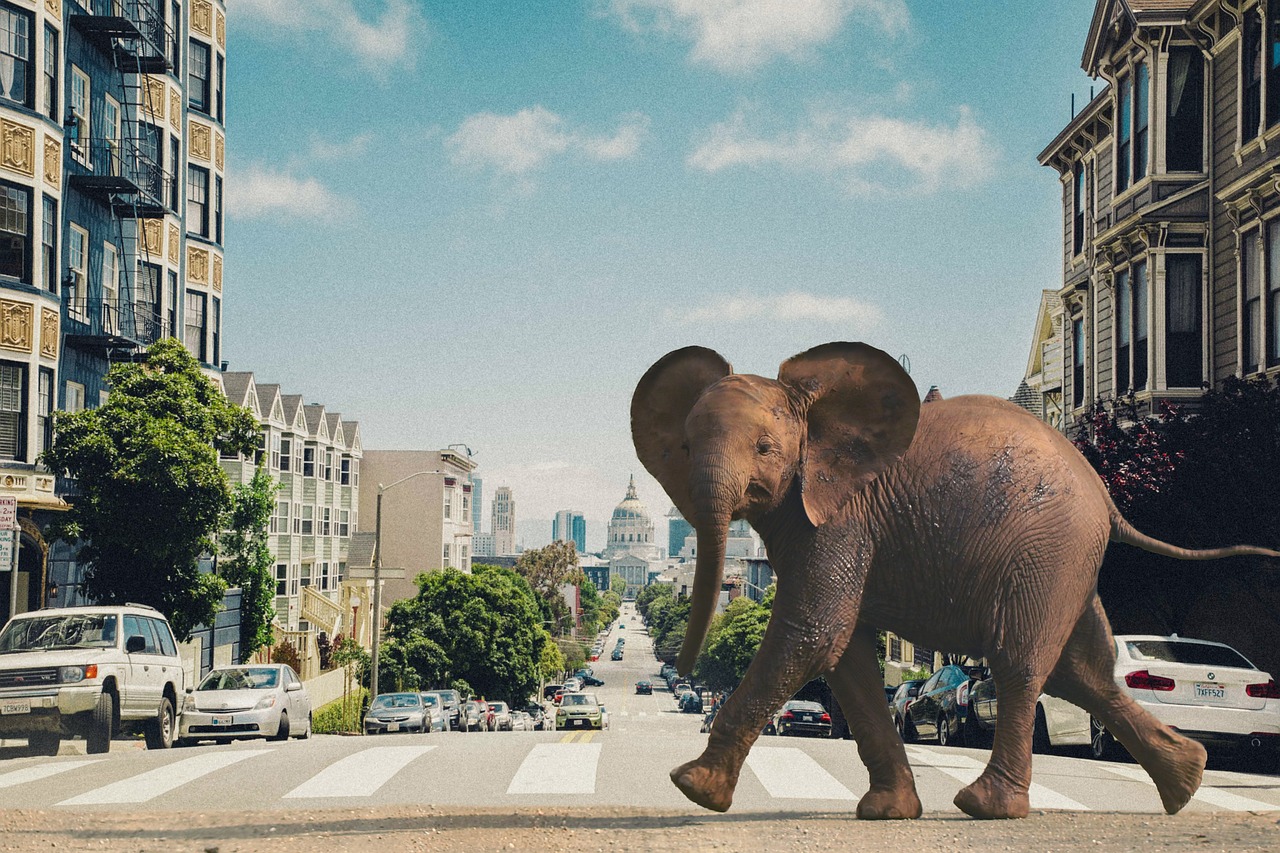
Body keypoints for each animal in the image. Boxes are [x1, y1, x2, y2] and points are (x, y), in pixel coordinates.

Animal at [630, 341, 1280, 820]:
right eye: (683, 446)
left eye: (766, 448)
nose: (679, 677)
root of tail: (1107, 499)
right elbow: (844, 654)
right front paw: (888, 813)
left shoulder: (841, 517)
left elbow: (813, 634)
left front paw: (692, 787)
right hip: (1068, 560)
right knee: (1082, 671)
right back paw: (1187, 781)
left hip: (1047, 550)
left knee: (1021, 661)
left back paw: (988, 806)